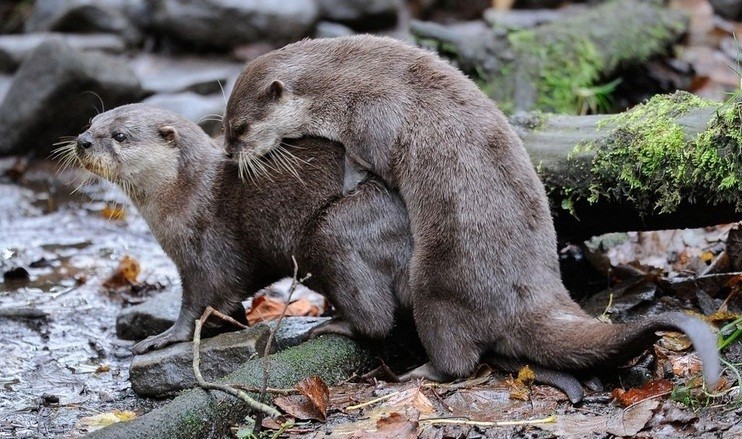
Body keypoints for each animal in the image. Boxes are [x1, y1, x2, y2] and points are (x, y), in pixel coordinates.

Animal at [224, 36, 724, 390]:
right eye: (225, 127)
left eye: (240, 128)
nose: (229, 154)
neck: (342, 80)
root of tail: (532, 296)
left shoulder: (372, 116)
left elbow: (364, 160)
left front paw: (349, 178)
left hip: (438, 280)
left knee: (458, 356)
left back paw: (415, 369)